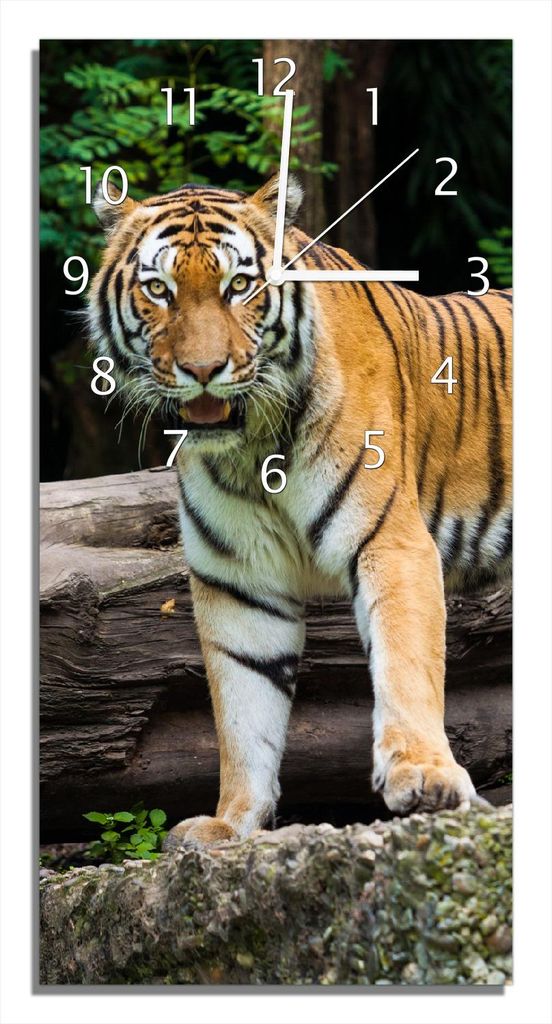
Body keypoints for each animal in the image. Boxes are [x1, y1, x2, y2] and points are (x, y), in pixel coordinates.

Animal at [89, 174, 512, 847]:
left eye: (240, 286)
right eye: (159, 289)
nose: (203, 371)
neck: (253, 448)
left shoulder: (389, 540)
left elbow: (405, 661)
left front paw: (423, 777)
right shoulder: (236, 580)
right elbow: (243, 706)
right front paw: (233, 821)